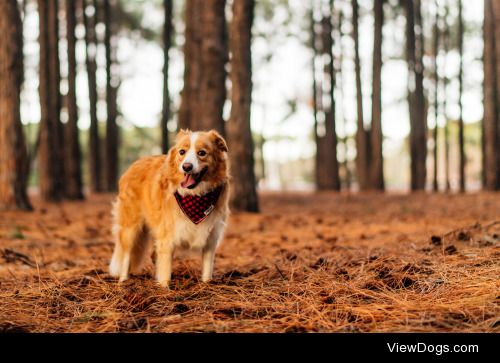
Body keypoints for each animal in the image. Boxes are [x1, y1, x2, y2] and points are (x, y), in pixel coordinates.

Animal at [108, 130, 229, 288]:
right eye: (182, 152)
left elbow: (207, 269)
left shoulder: (211, 237)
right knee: (126, 256)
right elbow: (165, 269)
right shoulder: (167, 238)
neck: (195, 196)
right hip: (131, 228)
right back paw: (123, 282)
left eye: (202, 153)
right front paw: (164, 288)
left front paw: (206, 285)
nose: (187, 167)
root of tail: (135, 163)